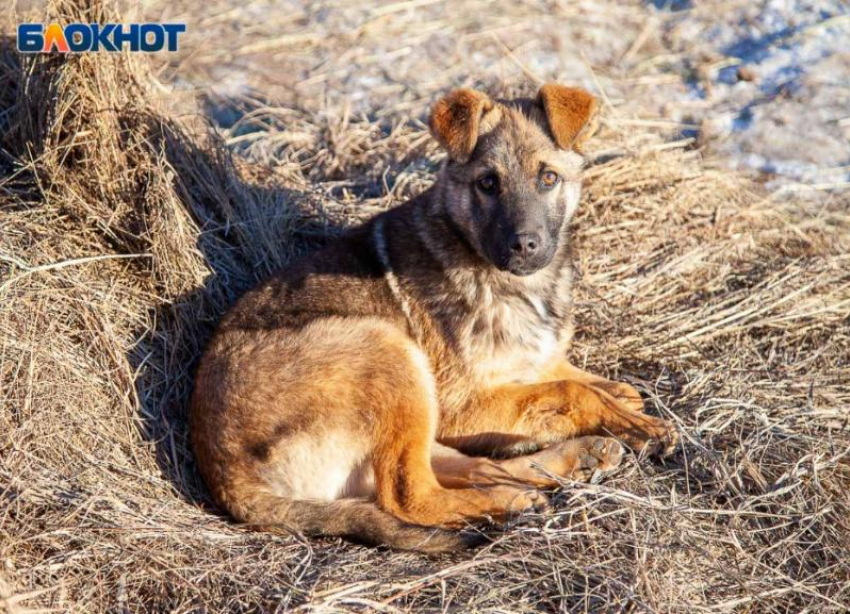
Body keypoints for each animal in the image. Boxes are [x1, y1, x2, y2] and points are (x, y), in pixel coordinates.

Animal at [190, 84, 676, 556]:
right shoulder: (461, 407)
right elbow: (571, 391)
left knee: (472, 466)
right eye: (487, 183)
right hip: (386, 351)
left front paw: (620, 402)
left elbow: (581, 381)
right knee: (410, 493)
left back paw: (572, 461)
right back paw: (515, 499)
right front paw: (640, 425)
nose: (525, 245)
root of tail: (227, 476)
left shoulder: (520, 372)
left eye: (549, 178)